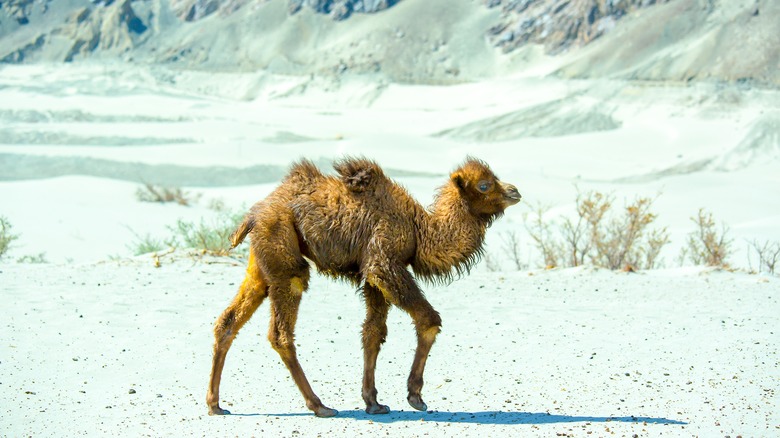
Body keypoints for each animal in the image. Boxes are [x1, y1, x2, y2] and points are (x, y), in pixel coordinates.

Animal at [207, 157, 524, 418]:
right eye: (484, 185)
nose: (515, 192)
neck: (419, 229)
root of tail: (253, 215)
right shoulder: (384, 262)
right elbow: (428, 320)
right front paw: (415, 396)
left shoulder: (372, 277)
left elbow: (373, 333)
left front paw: (373, 402)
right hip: (283, 253)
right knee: (281, 331)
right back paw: (319, 405)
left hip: (262, 262)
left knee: (228, 321)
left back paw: (215, 404)